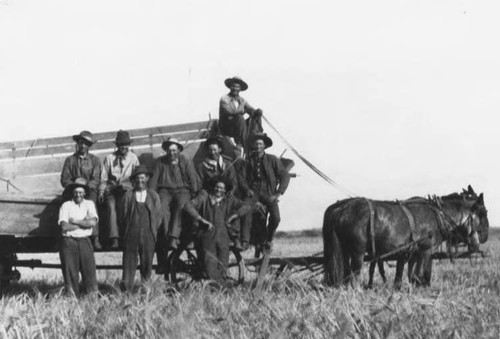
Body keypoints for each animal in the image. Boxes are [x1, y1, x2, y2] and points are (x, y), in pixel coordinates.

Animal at [320, 187, 488, 288]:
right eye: (483, 212)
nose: (485, 236)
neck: (438, 215)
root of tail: (340, 209)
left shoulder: (411, 253)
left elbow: (408, 275)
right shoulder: (425, 250)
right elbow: (420, 275)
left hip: (344, 251)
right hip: (357, 253)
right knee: (354, 276)